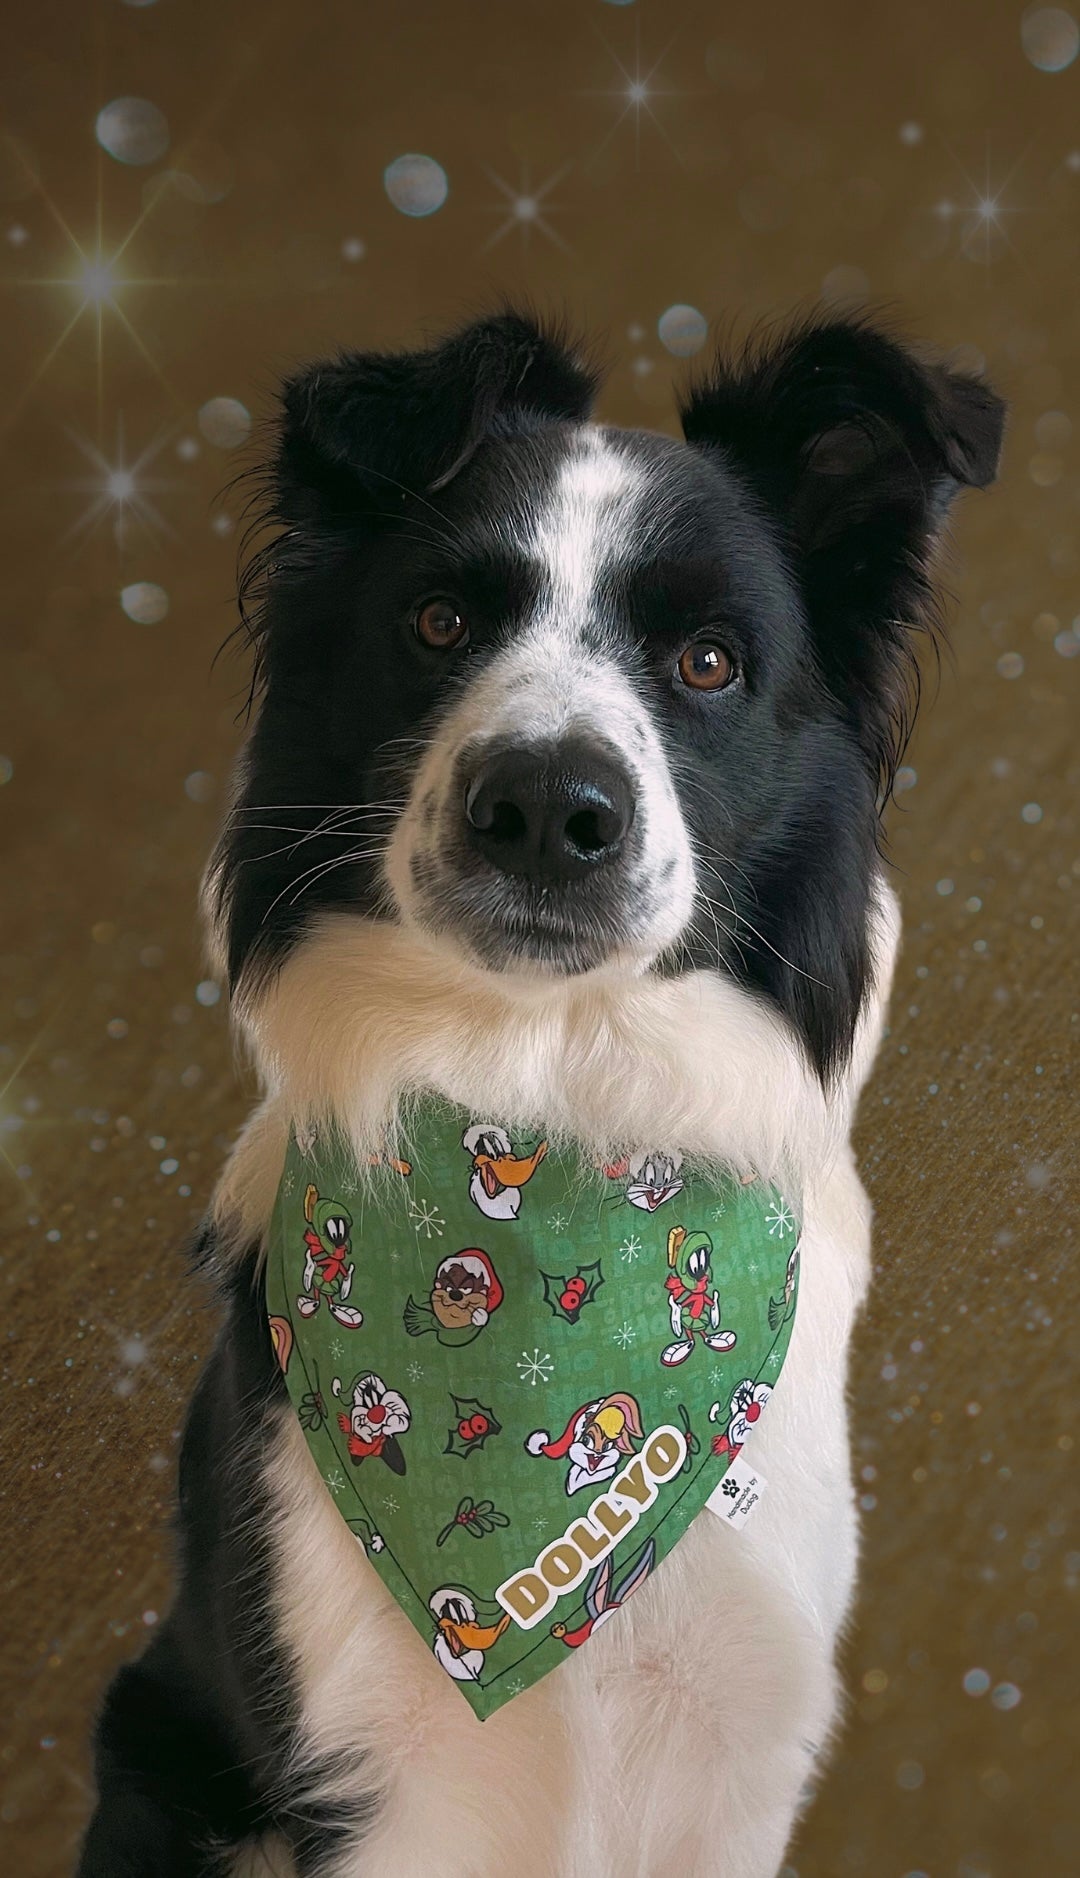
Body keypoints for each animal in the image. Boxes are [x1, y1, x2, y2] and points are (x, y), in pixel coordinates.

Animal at [77, 311, 1006, 1878]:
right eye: (440, 625)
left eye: (708, 659)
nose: (546, 808)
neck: (551, 1113)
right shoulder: (376, 1784)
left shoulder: (740, 1761)